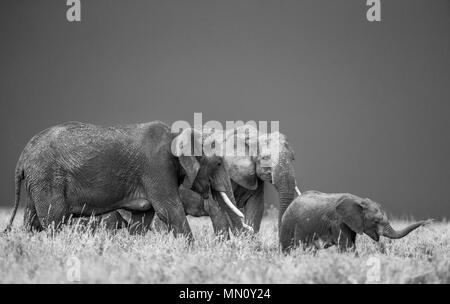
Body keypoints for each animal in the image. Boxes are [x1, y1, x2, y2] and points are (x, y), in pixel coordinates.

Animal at [278, 190, 432, 252]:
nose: (429, 221)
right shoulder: (338, 222)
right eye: (376, 221)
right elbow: (347, 247)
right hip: (288, 224)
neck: (359, 200)